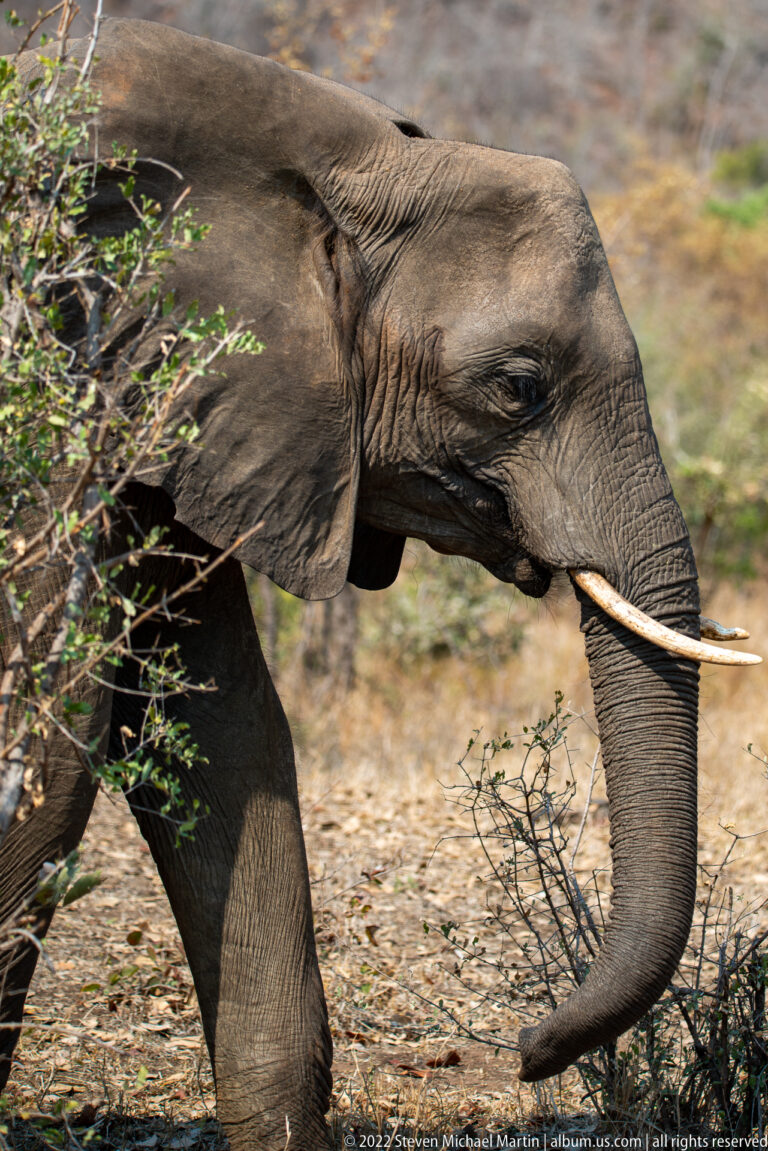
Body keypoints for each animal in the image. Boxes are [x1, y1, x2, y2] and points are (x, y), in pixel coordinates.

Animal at [0, 18, 759, 1151]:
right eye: (520, 386)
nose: (528, 1051)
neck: (332, 159)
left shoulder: (195, 405)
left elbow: (225, 727)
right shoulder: (54, 367)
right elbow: (52, 731)